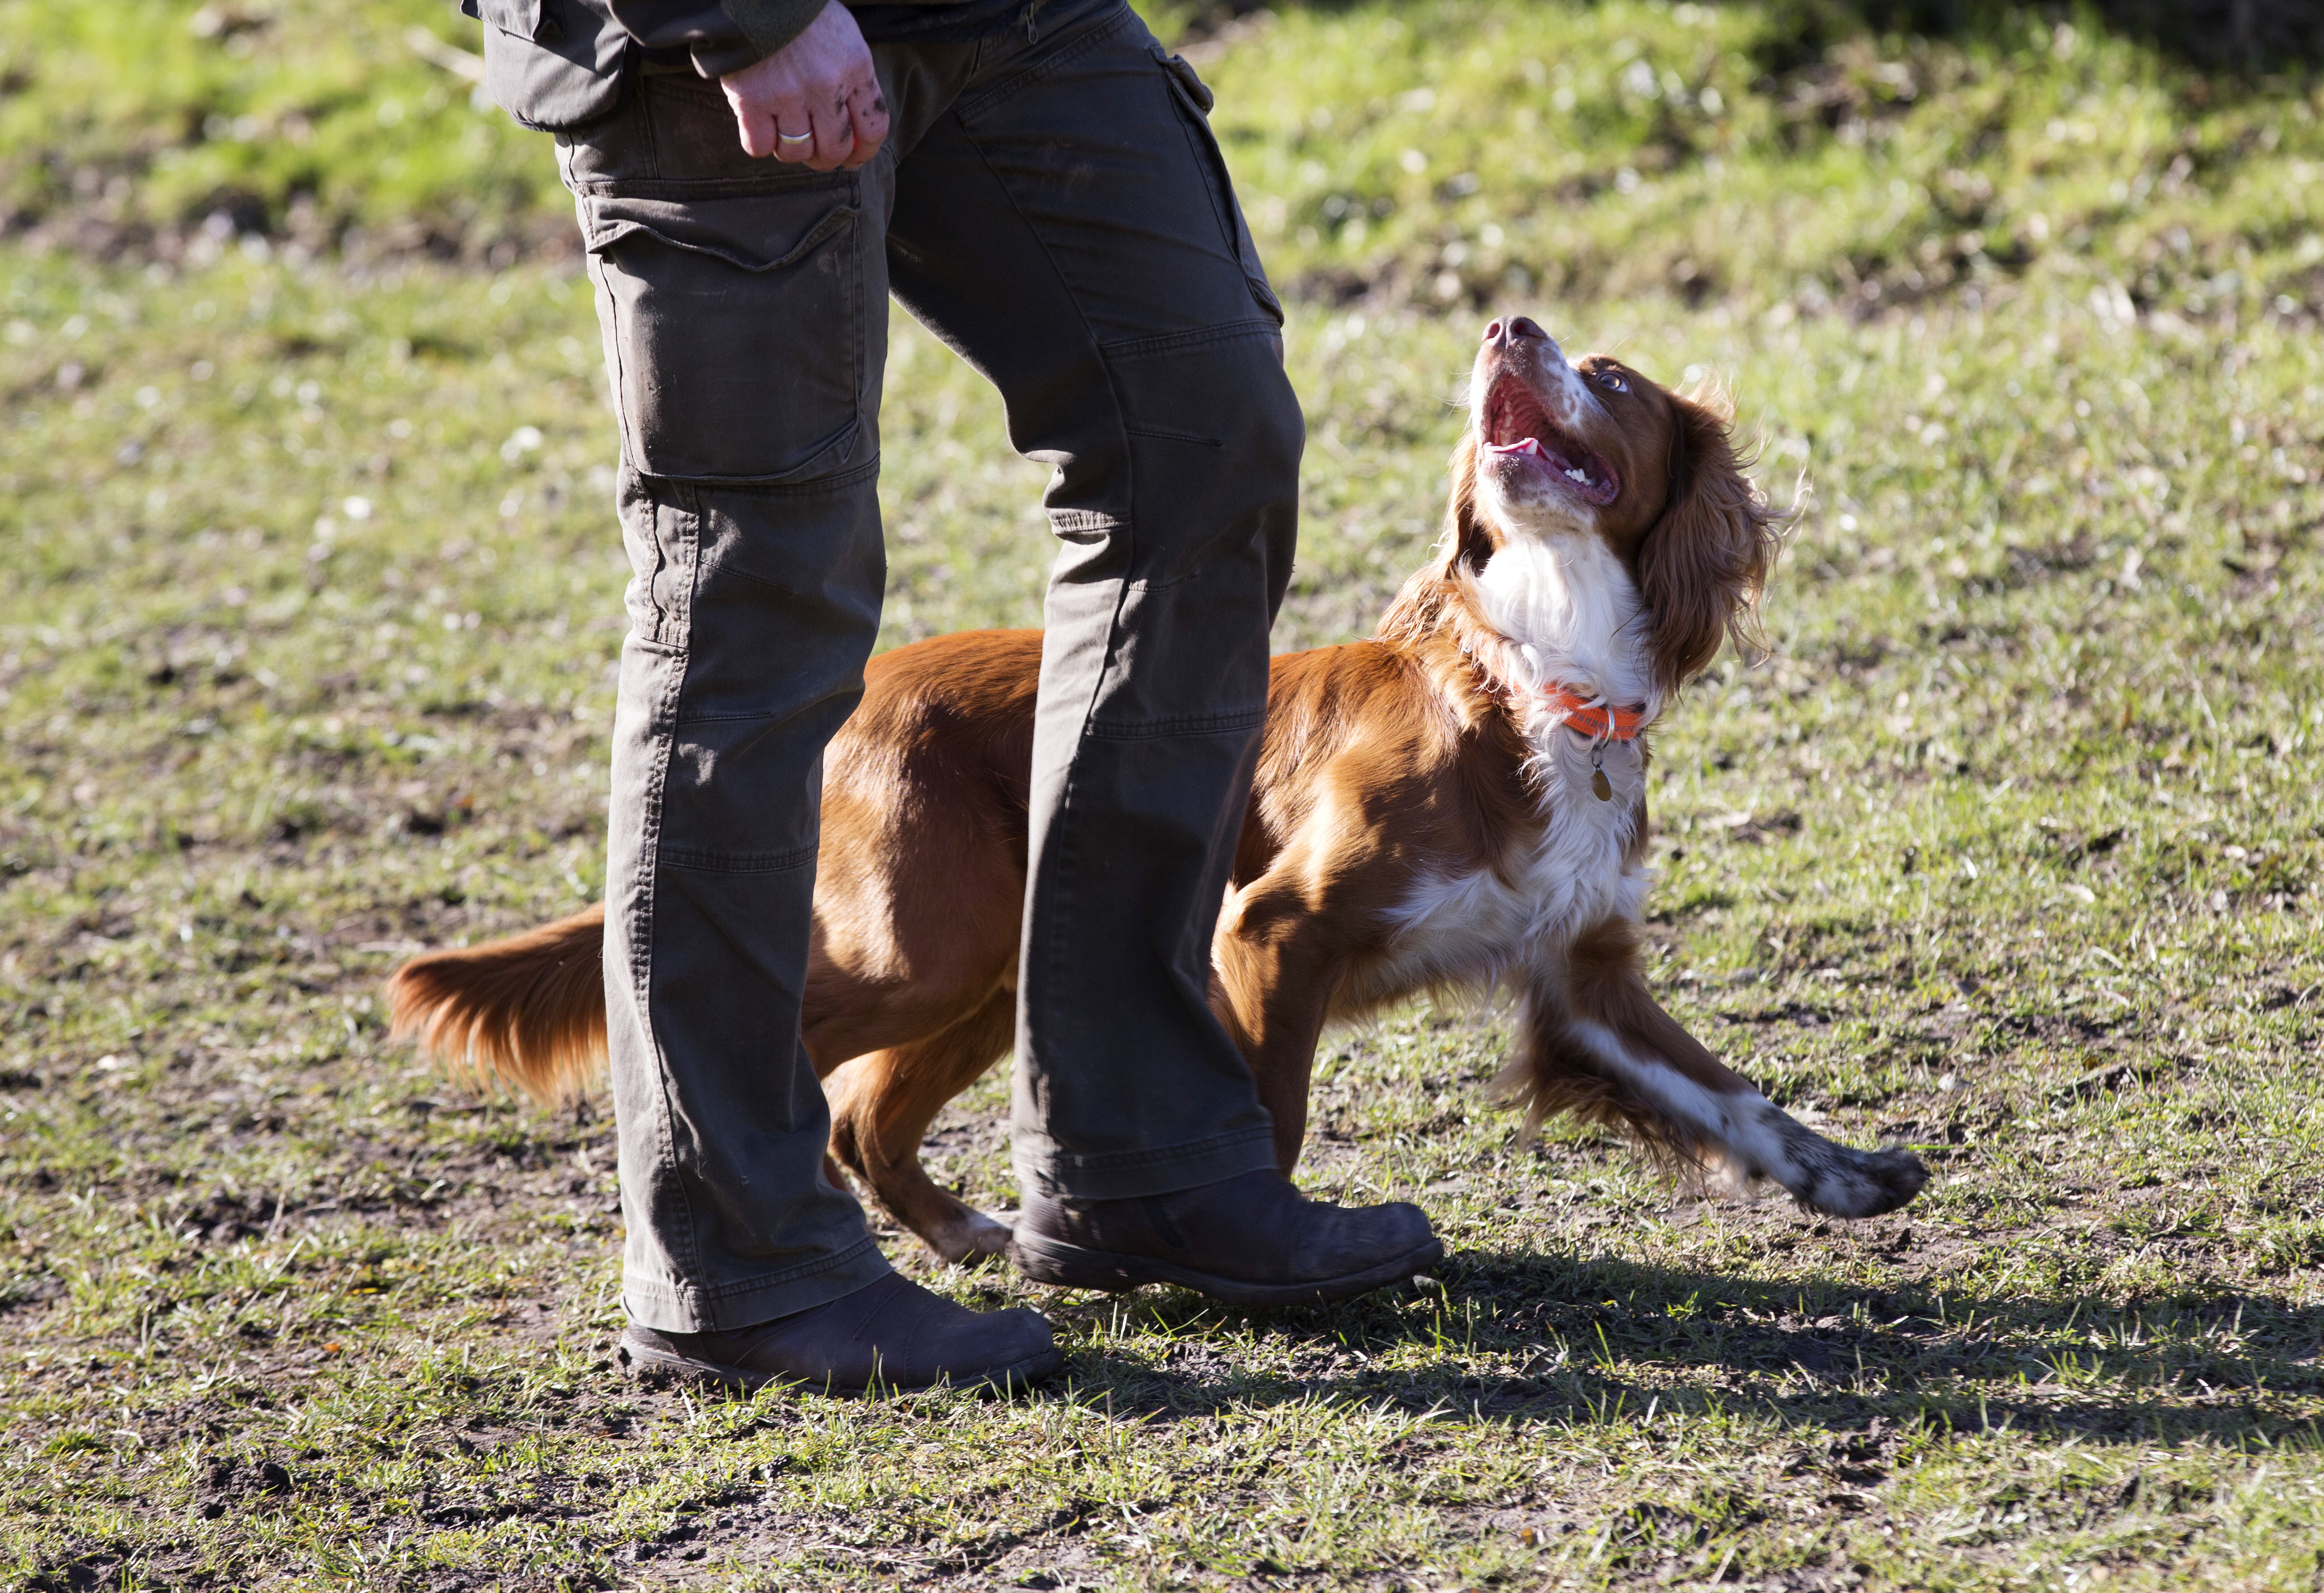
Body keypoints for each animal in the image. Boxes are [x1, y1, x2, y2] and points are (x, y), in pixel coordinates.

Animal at [395, 320, 1924, 1272]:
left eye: (1608, 373)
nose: (1505, 325)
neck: (1539, 674)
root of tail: (867, 681)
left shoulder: (1578, 977)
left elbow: (1730, 1095)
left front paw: (1843, 1171)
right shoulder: (1273, 926)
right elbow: (1269, 1112)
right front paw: (1273, 1247)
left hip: (992, 968)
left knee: (861, 1113)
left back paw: (968, 1235)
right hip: (927, 947)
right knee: (750, 1057)